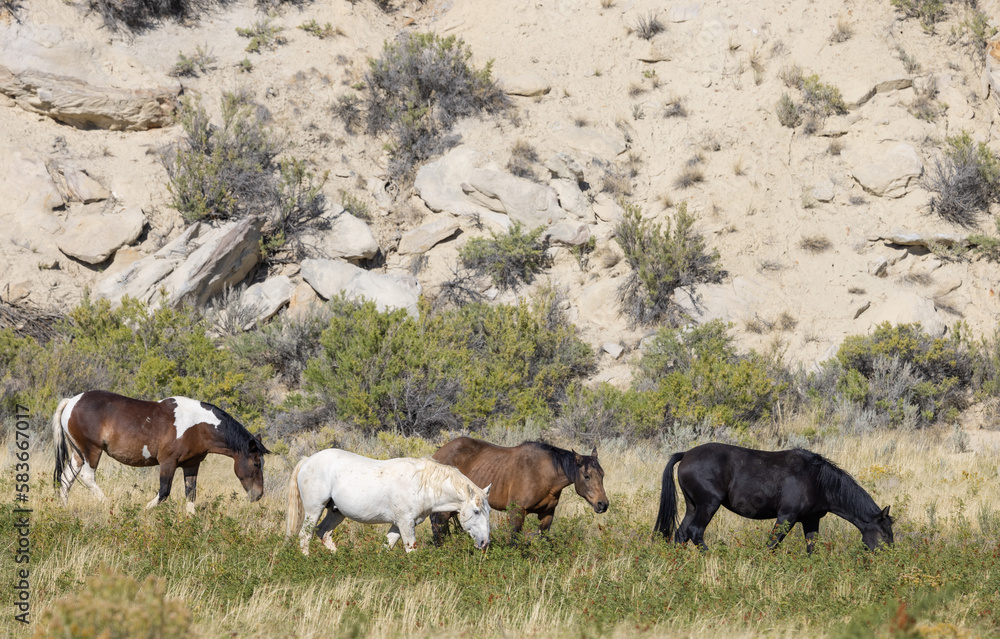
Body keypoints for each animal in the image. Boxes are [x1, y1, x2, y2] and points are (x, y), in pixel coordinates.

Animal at [52, 390, 269, 513]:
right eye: (256, 463)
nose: (258, 495)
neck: (197, 426)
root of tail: (71, 402)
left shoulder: (191, 465)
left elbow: (191, 494)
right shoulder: (168, 463)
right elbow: (164, 492)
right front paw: (143, 512)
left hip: (78, 454)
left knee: (66, 479)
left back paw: (64, 510)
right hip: (92, 452)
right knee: (88, 477)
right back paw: (110, 505)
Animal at [285, 448, 492, 555]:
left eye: (488, 512)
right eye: (476, 511)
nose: (485, 542)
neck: (420, 485)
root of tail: (307, 460)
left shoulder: (397, 526)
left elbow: (386, 548)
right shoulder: (406, 524)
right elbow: (410, 551)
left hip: (336, 512)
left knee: (323, 533)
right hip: (314, 510)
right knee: (305, 535)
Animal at [430, 437, 608, 544]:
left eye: (602, 474)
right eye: (586, 476)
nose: (603, 504)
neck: (542, 474)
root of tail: (437, 454)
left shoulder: (547, 514)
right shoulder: (516, 512)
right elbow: (514, 542)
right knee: (439, 527)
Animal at [653, 443, 894, 554]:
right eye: (883, 533)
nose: (890, 558)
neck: (817, 479)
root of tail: (686, 455)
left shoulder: (811, 520)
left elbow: (811, 546)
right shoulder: (787, 516)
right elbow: (772, 544)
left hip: (693, 506)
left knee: (681, 534)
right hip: (707, 505)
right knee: (695, 532)